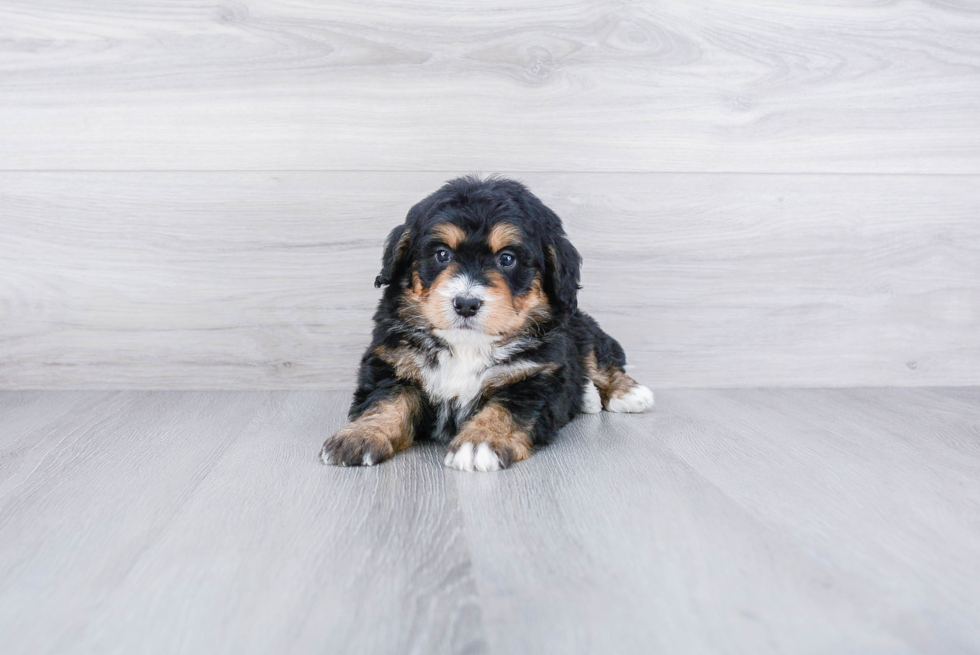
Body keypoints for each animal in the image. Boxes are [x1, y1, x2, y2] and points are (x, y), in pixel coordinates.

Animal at [322, 174, 656, 472]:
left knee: (599, 360)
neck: (467, 344)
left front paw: (481, 441)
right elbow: (385, 400)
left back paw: (627, 393)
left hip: (581, 327)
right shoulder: (393, 361)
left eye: (507, 259)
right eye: (442, 254)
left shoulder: (536, 375)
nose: (466, 303)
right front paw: (360, 435)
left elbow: (507, 408)